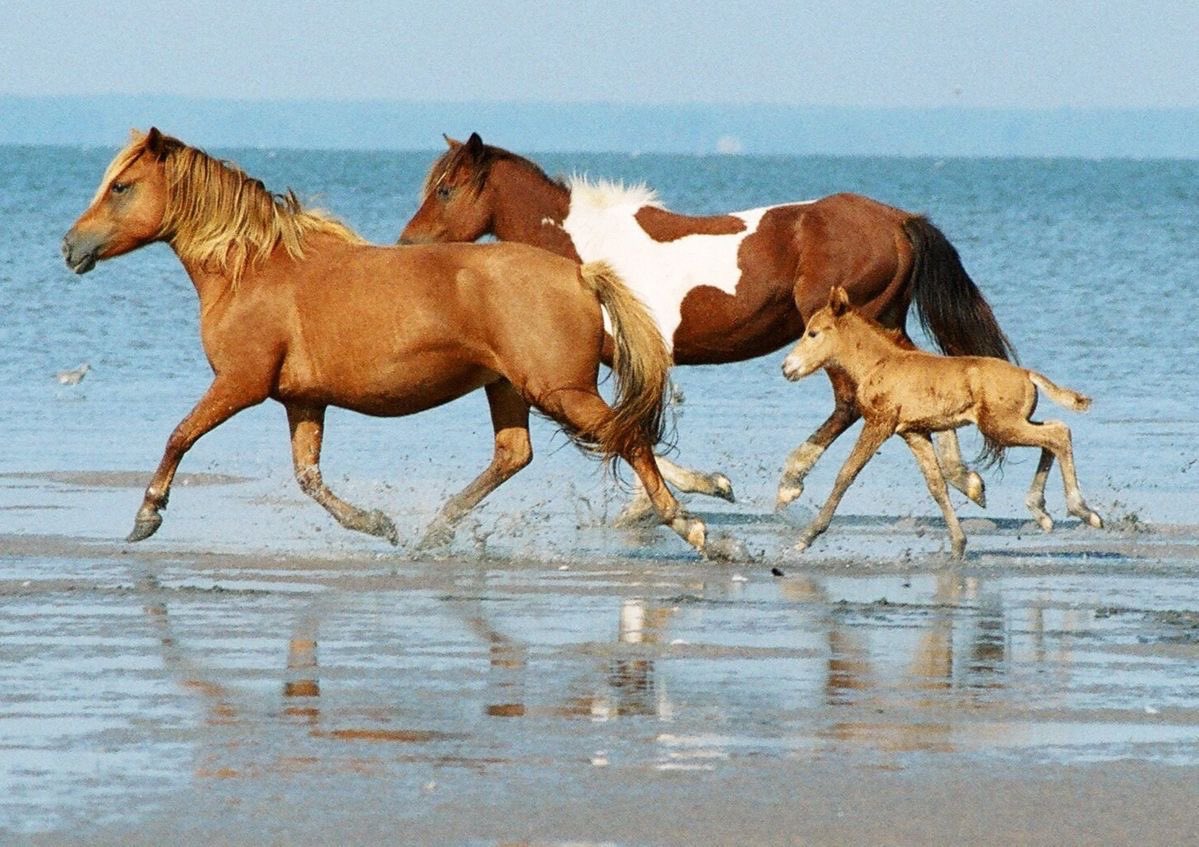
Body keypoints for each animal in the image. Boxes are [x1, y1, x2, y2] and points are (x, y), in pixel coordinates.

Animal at [61, 128, 711, 556]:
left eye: (121, 187)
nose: (70, 247)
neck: (253, 269)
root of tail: (580, 273)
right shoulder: (303, 399)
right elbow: (309, 478)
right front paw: (377, 524)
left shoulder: (239, 383)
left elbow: (179, 436)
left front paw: (147, 514)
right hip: (508, 388)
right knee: (514, 454)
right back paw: (435, 530)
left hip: (561, 391)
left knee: (629, 441)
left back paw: (694, 528)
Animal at [398, 133, 1011, 519]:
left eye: (446, 190)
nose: (407, 245)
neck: (585, 249)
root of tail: (899, 221)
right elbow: (629, 426)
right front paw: (677, 497)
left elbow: (632, 426)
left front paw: (681, 496)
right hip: (882, 319)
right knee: (917, 371)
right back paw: (967, 480)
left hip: (839, 325)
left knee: (849, 401)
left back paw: (791, 481)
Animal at [781, 287, 1103, 558]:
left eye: (813, 333)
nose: (787, 368)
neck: (878, 364)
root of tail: (1027, 374)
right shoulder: (914, 432)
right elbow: (936, 484)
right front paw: (958, 544)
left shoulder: (879, 423)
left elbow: (846, 473)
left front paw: (807, 537)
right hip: (1010, 423)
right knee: (1053, 432)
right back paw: (1042, 512)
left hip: (1000, 427)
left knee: (1058, 434)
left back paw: (1083, 511)